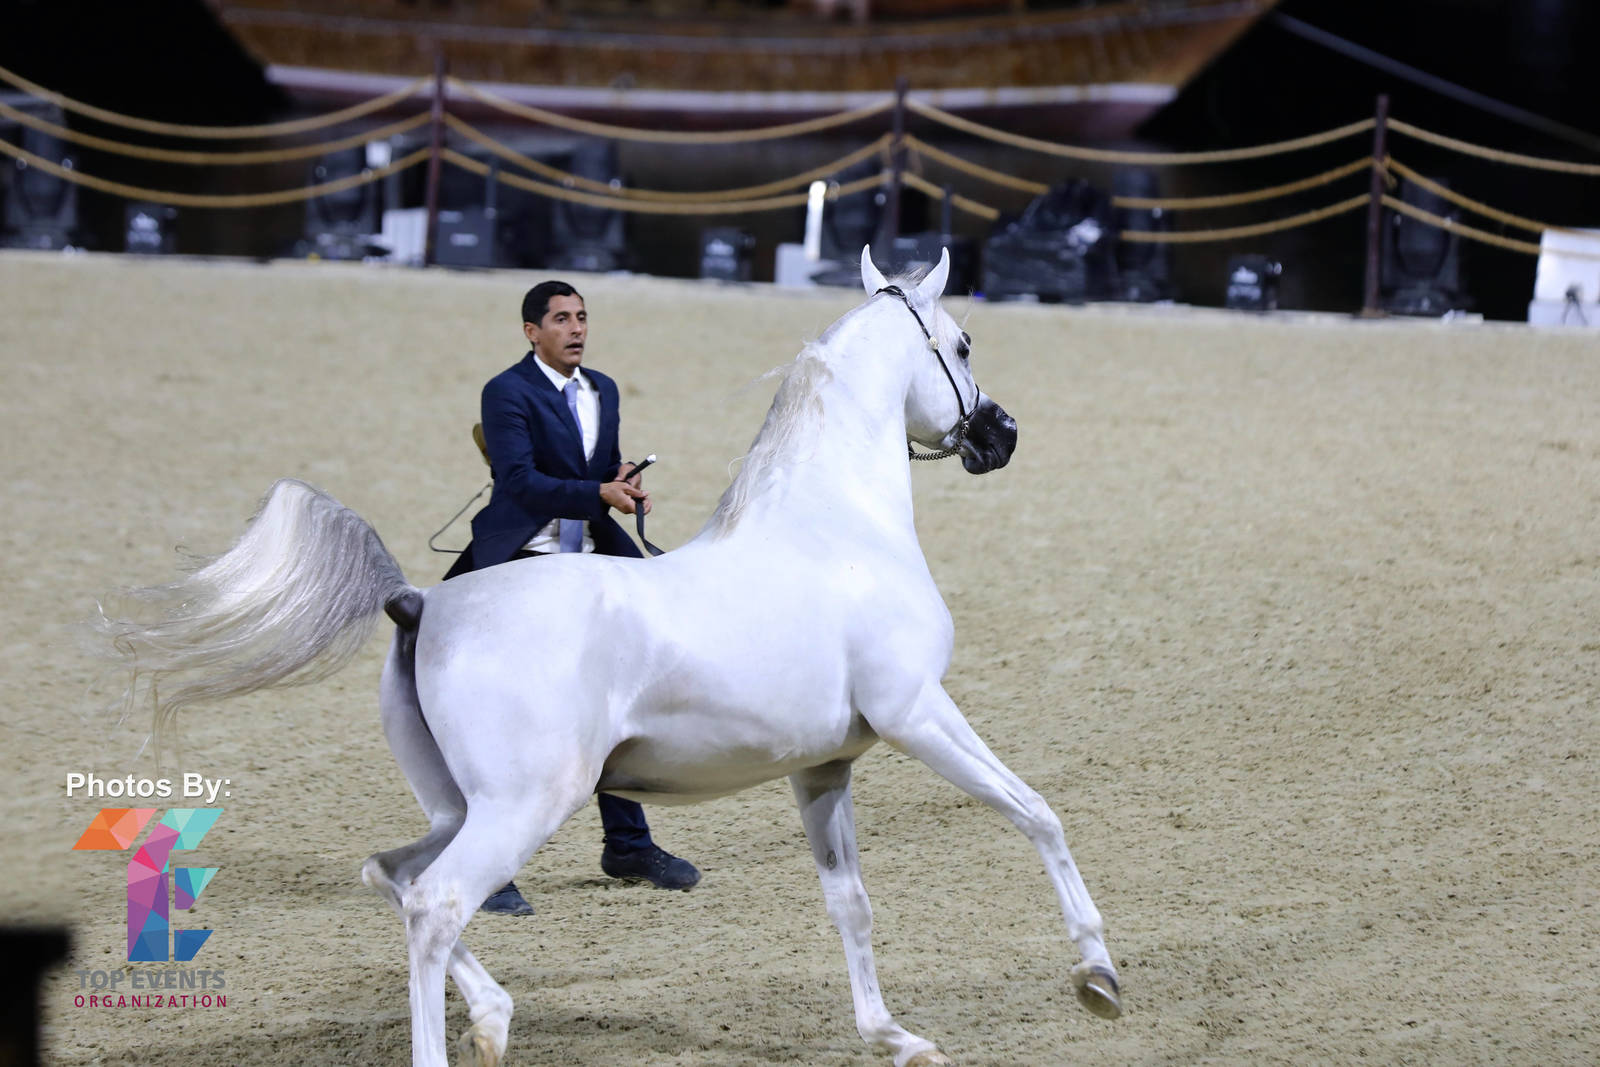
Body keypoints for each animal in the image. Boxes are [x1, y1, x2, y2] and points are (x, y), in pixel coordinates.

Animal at [96, 247, 1121, 1067]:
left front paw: (894, 1036)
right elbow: (1039, 814)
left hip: (461, 805)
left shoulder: (823, 767)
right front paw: (1097, 974)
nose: (1001, 435)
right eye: (962, 345)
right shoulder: (918, 713)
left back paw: (496, 1017)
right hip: (524, 805)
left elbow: (851, 903)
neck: (839, 529)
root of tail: (423, 599)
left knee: (392, 874)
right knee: (435, 905)